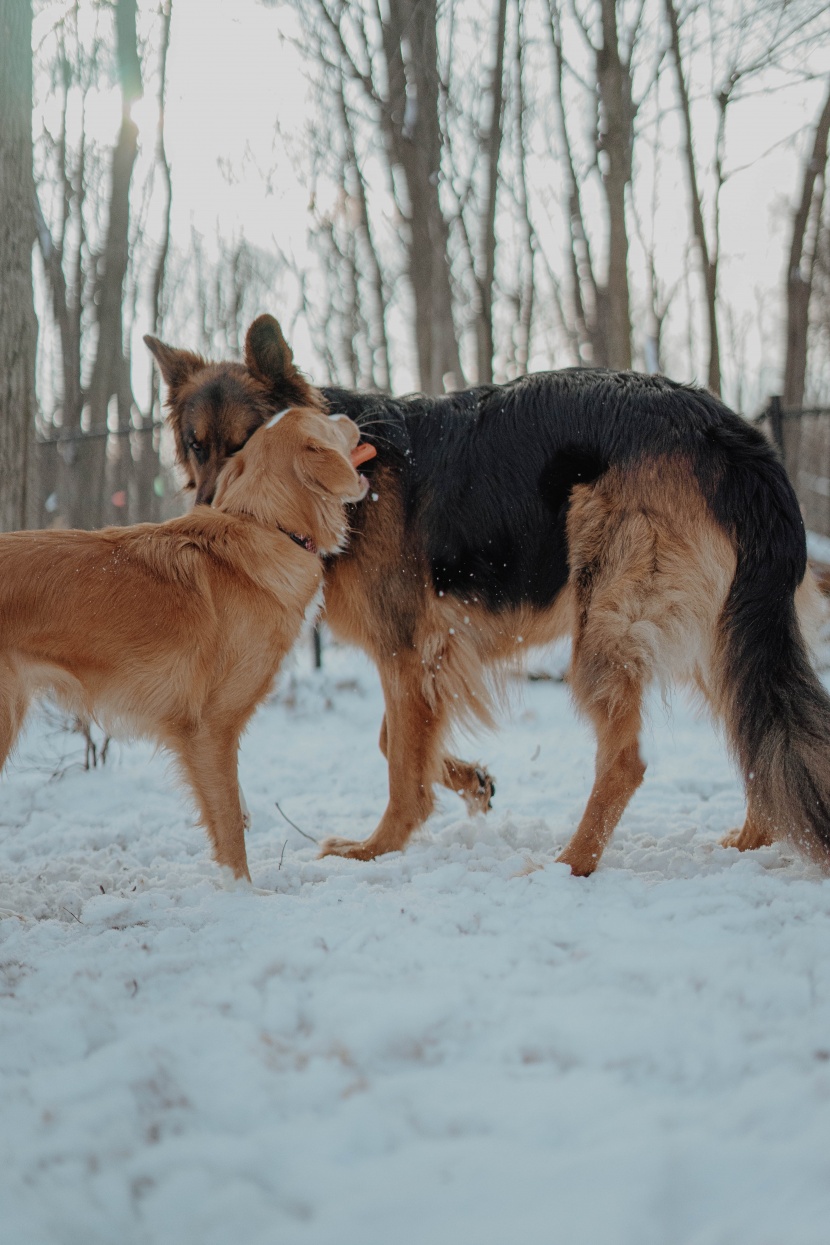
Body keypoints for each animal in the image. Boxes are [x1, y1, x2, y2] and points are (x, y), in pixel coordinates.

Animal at [0, 403, 370, 881]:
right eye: (323, 421)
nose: (347, 413)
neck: (267, 524)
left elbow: (234, 803)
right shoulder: (211, 726)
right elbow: (228, 823)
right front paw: (244, 890)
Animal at [146, 316, 830, 871]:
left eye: (245, 446)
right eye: (195, 447)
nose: (209, 519)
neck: (354, 471)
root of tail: (733, 436)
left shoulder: (405, 651)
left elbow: (401, 764)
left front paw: (376, 850)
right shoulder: (427, 657)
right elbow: (397, 742)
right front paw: (472, 780)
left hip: (611, 625)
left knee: (627, 761)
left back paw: (570, 864)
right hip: (717, 634)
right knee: (757, 731)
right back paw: (752, 840)